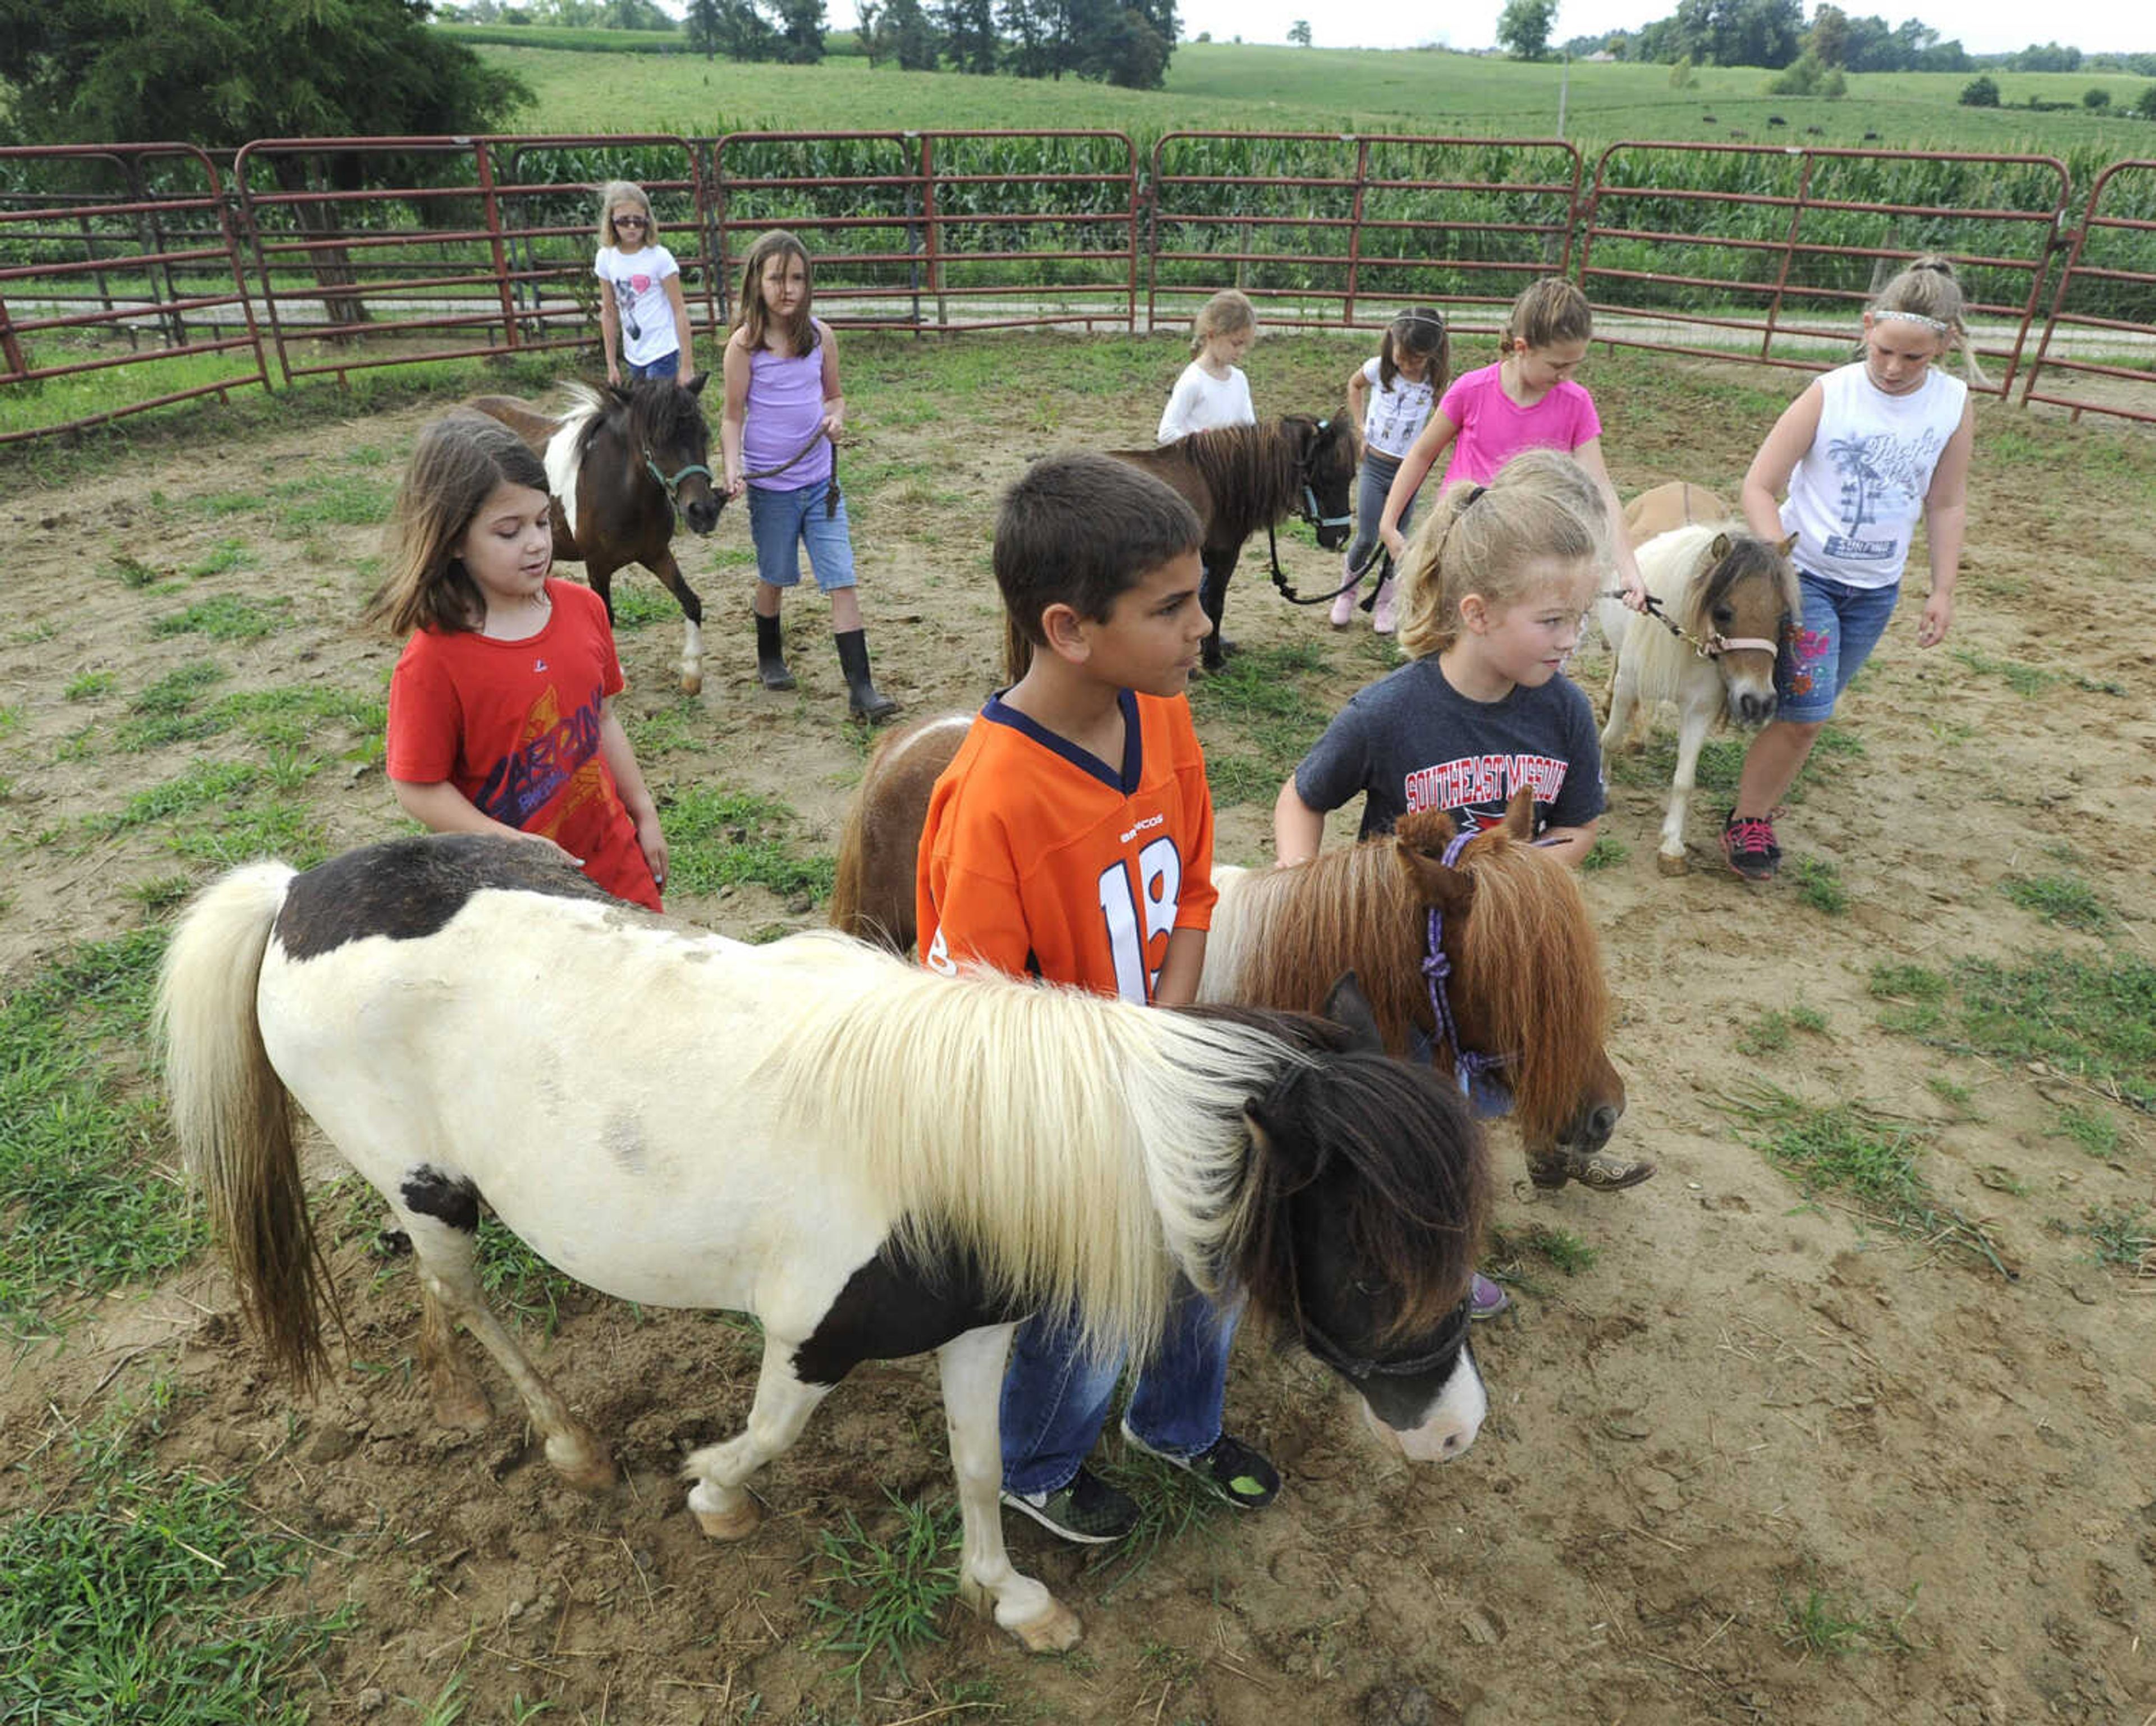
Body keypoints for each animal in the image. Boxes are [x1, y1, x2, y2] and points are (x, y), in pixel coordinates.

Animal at [159, 836, 1492, 1655]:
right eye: (1371, 1266)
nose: (1455, 1432)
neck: (964, 1141)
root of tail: (296, 894)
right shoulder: (810, 1334)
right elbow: (770, 1434)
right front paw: (711, 1494)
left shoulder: (978, 1328)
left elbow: (975, 1463)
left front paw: (1012, 1598)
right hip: (434, 1193)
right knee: (471, 1295)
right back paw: (569, 1443)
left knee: (445, 1303)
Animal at [465, 381, 724, 693]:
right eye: (655, 441)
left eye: (703, 434)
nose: (703, 511)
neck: (623, 492)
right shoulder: (597, 565)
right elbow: (606, 617)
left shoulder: (656, 553)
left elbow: (690, 600)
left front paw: (692, 674)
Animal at [1121, 413, 1354, 668]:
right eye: (1325, 476)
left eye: (1351, 476)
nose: (1341, 536)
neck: (1215, 481)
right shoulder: (1224, 555)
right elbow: (1214, 604)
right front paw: (1213, 660)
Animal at [1604, 519, 1802, 875]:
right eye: (1723, 612)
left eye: (1783, 618)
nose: (1759, 702)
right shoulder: (1629, 685)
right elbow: (1609, 738)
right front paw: (1603, 790)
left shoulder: (1700, 710)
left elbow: (1685, 779)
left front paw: (1672, 845)